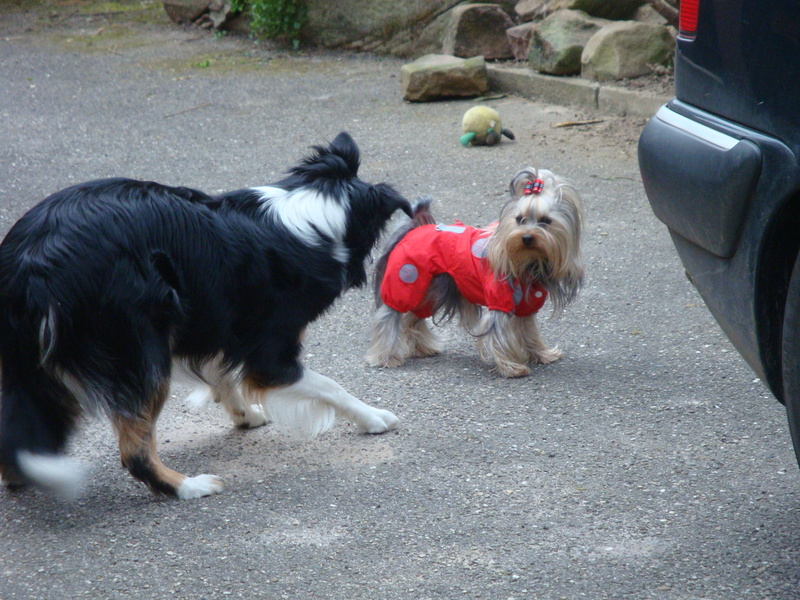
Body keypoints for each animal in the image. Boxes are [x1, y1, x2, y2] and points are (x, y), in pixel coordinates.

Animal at [0, 132, 412, 502]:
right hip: (139, 349)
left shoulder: (211, 319)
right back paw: (189, 486)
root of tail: (32, 263)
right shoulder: (270, 352)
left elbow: (221, 372)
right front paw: (373, 417)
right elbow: (329, 386)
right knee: (135, 451)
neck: (312, 216)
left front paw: (244, 414)